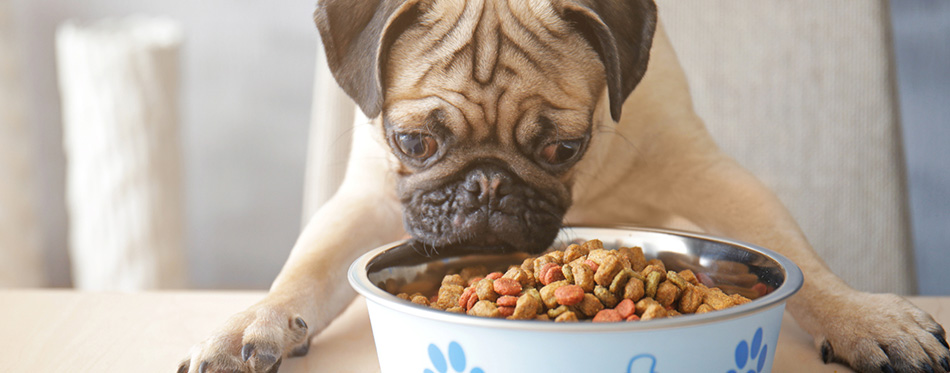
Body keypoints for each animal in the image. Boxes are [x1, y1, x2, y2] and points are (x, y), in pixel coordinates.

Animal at [180, 0, 950, 372]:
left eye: (563, 148)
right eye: (414, 142)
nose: (487, 187)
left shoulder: (711, 174)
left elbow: (809, 266)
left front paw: (867, 320)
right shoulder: (367, 200)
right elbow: (302, 273)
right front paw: (255, 322)